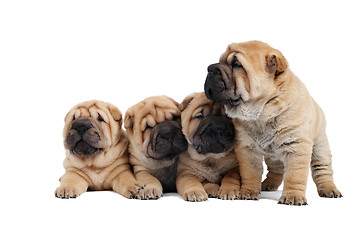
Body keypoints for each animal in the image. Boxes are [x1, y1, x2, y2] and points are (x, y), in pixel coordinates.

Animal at [204, 40, 342, 205]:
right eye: (220, 61)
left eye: (237, 64)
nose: (210, 69)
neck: (262, 112)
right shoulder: (247, 148)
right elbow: (250, 172)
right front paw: (247, 192)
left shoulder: (297, 146)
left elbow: (294, 175)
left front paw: (293, 196)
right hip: (273, 156)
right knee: (276, 170)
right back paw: (267, 184)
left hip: (320, 147)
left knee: (322, 170)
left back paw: (329, 189)